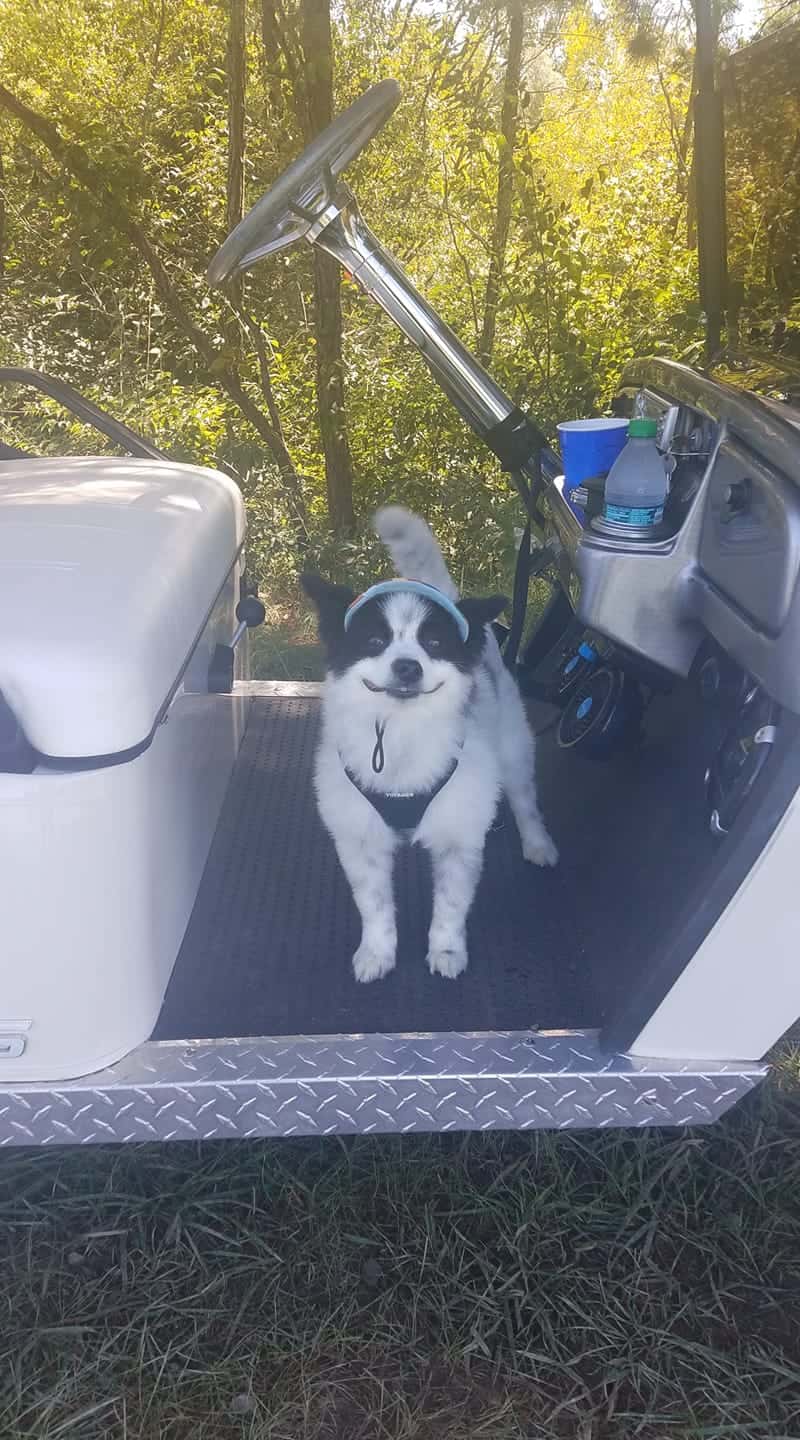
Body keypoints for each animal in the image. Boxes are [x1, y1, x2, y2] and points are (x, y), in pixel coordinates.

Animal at [303, 501, 558, 984]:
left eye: (434, 643)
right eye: (375, 640)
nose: (408, 667)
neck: (402, 734)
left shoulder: (459, 834)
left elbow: (451, 908)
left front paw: (446, 951)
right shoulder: (359, 836)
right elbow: (374, 905)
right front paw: (377, 952)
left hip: (513, 749)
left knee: (526, 799)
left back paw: (538, 844)